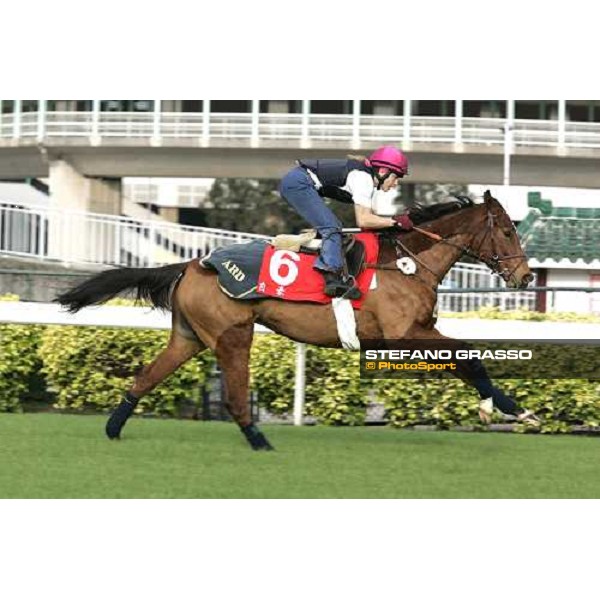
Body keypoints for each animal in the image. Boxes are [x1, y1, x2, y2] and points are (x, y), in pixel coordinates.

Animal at [57, 192, 536, 450]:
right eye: (507, 231)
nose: (526, 276)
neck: (406, 262)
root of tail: (193, 264)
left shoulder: (416, 331)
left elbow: (467, 358)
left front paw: (511, 408)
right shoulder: (402, 334)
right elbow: (467, 356)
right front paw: (505, 408)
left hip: (189, 336)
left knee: (146, 376)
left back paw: (114, 429)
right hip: (233, 334)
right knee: (234, 398)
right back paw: (259, 442)